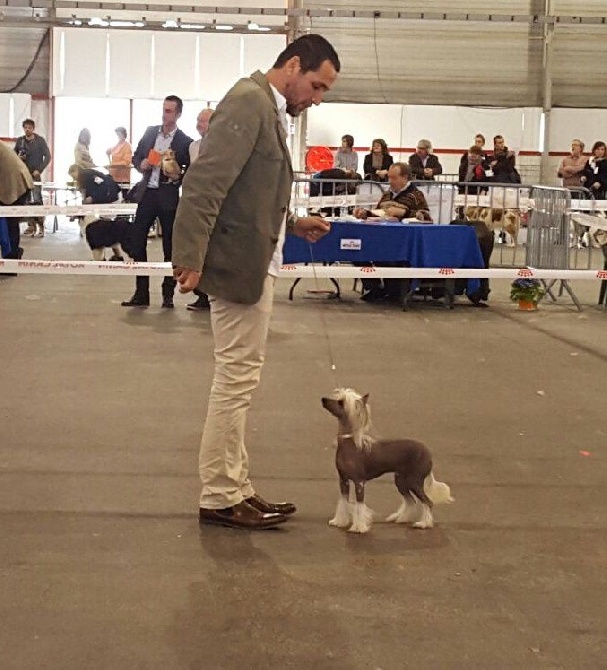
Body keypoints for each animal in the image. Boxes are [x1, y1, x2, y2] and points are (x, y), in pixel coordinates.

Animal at [324, 388, 452, 536]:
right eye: (337, 398)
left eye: (341, 402)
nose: (323, 400)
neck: (350, 443)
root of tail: (428, 453)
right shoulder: (343, 481)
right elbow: (343, 502)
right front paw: (339, 521)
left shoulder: (359, 482)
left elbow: (359, 506)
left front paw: (359, 527)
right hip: (401, 481)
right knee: (411, 501)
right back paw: (401, 518)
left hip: (414, 481)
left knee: (427, 502)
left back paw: (423, 524)